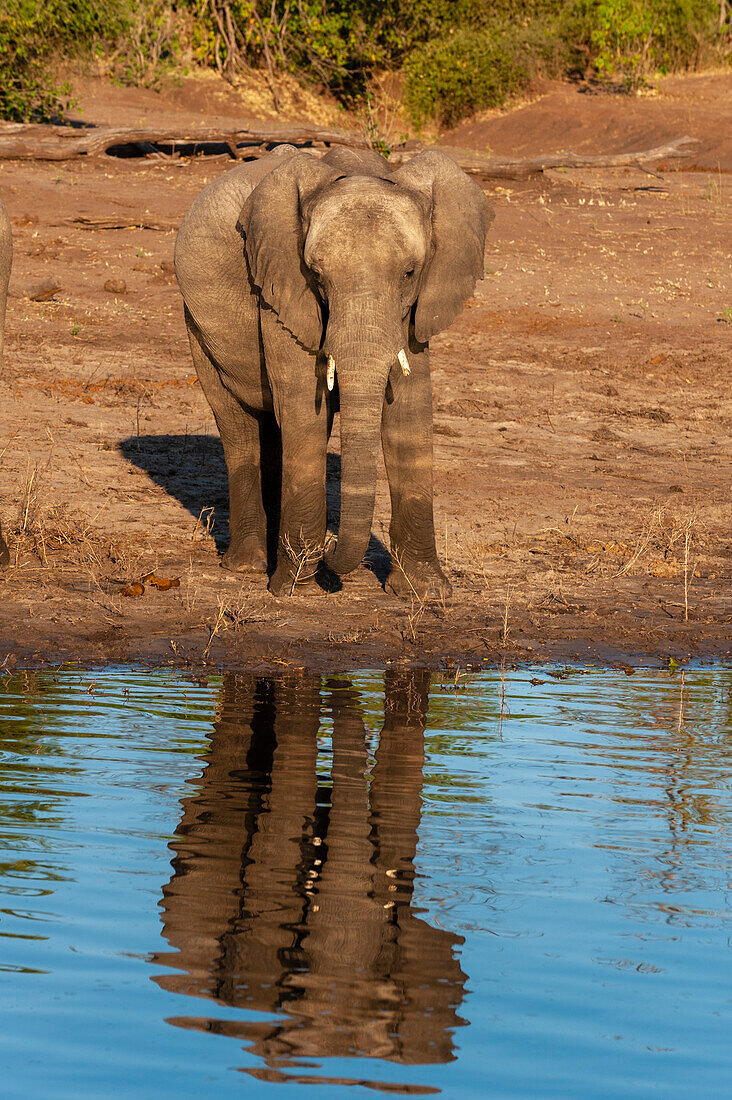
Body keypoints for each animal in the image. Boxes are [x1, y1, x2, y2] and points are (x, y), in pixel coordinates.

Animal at [173, 145, 490, 598]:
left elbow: (408, 415)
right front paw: (295, 588)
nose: (331, 547)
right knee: (238, 426)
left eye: (410, 273)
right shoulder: (280, 290)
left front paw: (425, 591)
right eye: (317, 276)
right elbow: (305, 410)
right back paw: (250, 566)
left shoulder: (415, 310)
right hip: (196, 326)